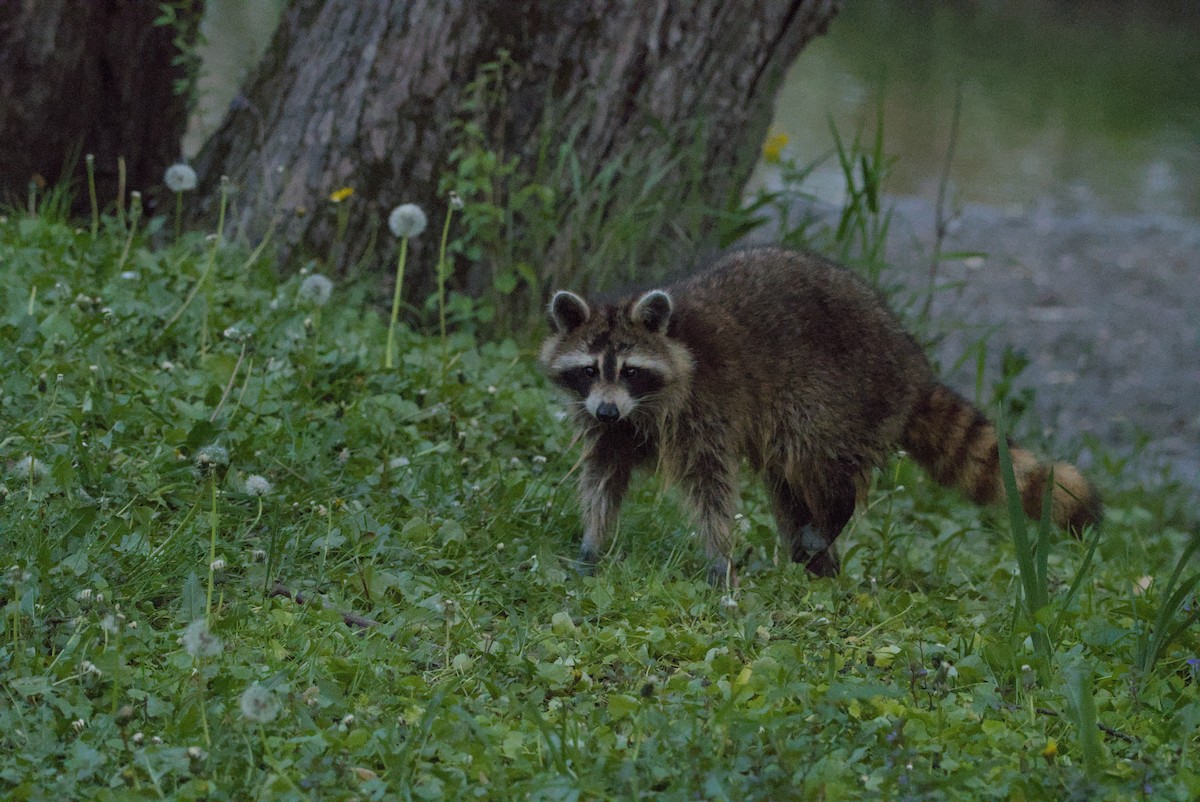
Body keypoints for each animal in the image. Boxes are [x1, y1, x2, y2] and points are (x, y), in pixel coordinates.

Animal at [540, 246, 1102, 586]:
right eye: (589, 370)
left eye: (632, 370)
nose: (607, 407)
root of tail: (913, 366)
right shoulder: (611, 427)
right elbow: (604, 475)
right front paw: (594, 542)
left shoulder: (706, 410)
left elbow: (711, 486)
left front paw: (719, 556)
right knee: (786, 485)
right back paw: (817, 561)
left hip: (838, 398)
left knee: (813, 460)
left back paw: (831, 517)